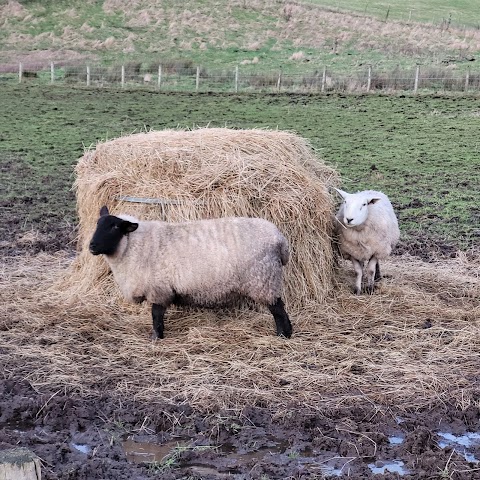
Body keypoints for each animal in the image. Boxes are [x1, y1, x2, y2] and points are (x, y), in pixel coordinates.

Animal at [90, 205, 292, 338]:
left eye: (115, 227)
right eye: (97, 224)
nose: (91, 246)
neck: (134, 245)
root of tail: (280, 240)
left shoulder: (158, 288)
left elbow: (156, 315)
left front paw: (156, 337)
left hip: (264, 280)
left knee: (278, 310)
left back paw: (283, 335)